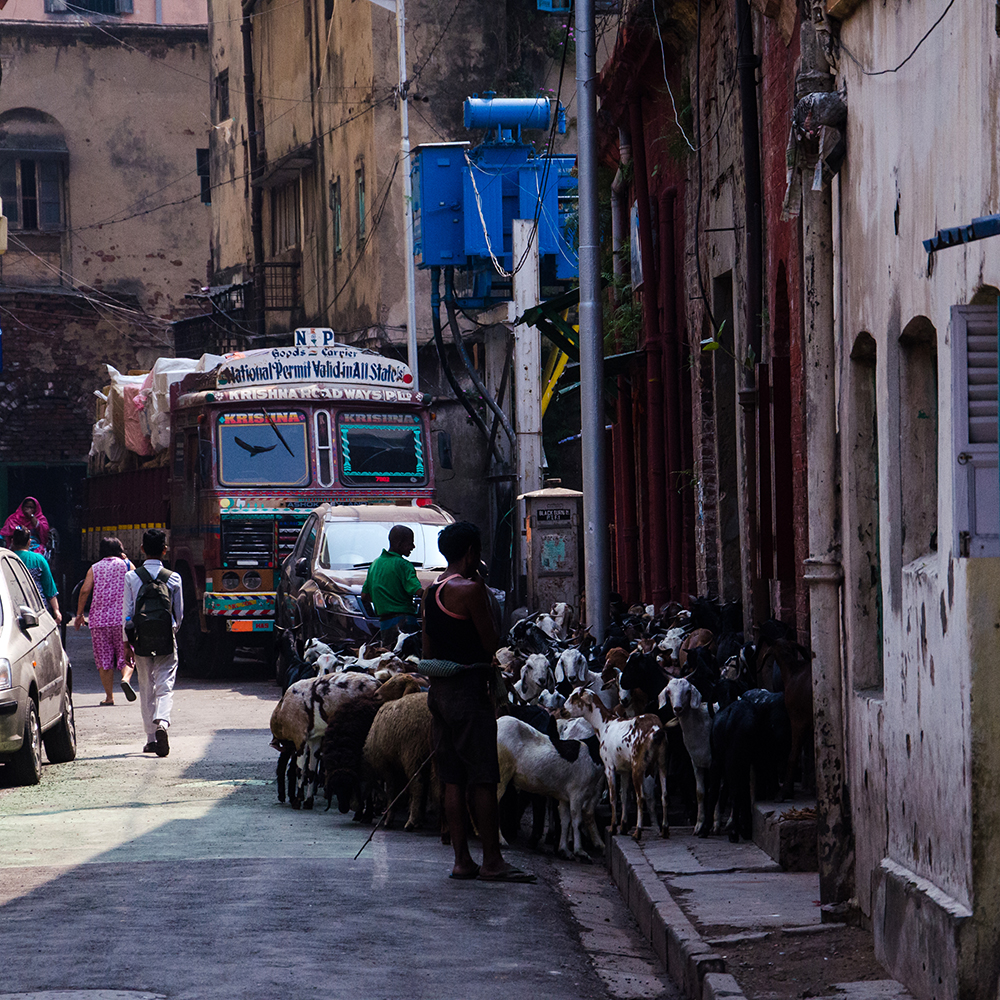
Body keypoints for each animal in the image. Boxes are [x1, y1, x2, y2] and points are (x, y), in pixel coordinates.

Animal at [496, 716, 604, 864]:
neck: (592, 754)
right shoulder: (577, 792)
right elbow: (577, 820)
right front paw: (580, 852)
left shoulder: (565, 796)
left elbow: (565, 820)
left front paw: (564, 851)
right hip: (502, 771)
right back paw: (501, 840)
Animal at [560, 684, 668, 840]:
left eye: (575, 698)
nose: (562, 711)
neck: (605, 725)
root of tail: (656, 730)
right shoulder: (624, 770)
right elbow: (624, 797)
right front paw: (623, 826)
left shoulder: (609, 767)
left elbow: (613, 797)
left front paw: (613, 827)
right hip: (662, 762)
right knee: (664, 794)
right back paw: (664, 830)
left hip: (638, 765)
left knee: (640, 797)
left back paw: (638, 832)